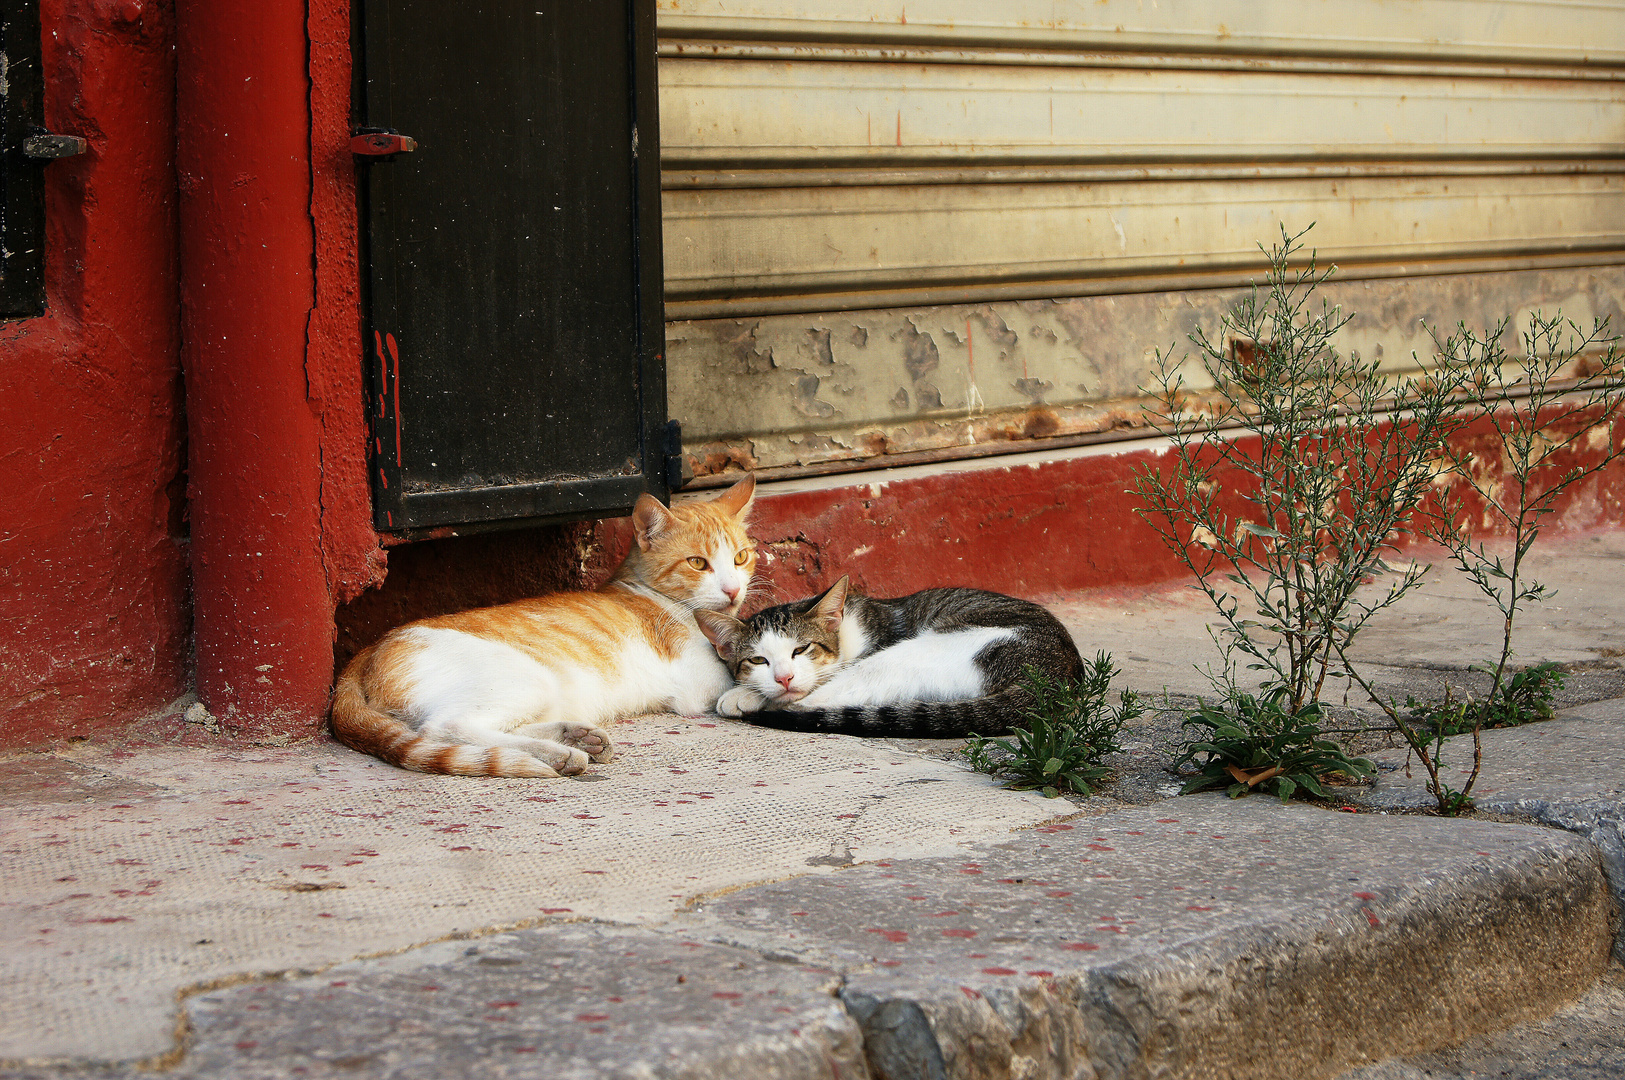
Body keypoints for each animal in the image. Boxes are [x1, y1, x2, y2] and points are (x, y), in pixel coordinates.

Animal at [334, 477, 760, 769]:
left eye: (740, 558)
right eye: (698, 563)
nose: (733, 590)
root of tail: (370, 649)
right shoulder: (696, 681)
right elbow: (739, 677)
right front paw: (752, 691)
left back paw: (576, 737)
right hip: (524, 679)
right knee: (445, 728)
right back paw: (556, 754)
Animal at [692, 578, 1085, 737]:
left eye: (801, 649)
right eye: (758, 661)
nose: (784, 677)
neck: (845, 632)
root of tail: (1058, 675)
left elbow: (811, 688)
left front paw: (744, 694)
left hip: (916, 649)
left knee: (822, 700)